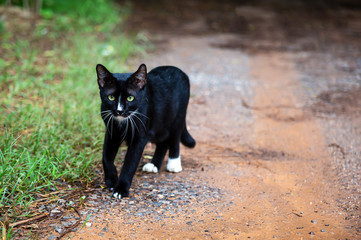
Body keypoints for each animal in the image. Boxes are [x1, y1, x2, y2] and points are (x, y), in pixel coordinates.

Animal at [95, 63, 194, 199]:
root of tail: (177, 69)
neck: (123, 121)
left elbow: (130, 162)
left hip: (178, 115)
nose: (120, 111)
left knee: (174, 137)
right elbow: (106, 157)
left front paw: (121, 189)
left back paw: (174, 164)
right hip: (159, 124)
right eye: (111, 97)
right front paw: (111, 180)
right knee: (163, 141)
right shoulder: (111, 132)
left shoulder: (140, 137)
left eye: (130, 98)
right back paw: (154, 165)